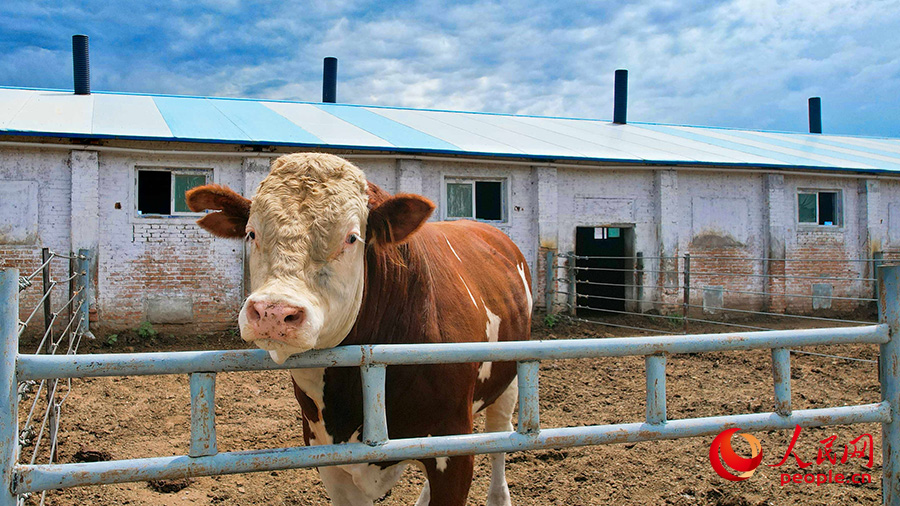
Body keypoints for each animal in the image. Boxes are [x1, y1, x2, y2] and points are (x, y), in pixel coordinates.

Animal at [185, 154, 532, 506]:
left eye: (351, 237)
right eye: (251, 233)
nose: (273, 312)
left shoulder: (454, 453)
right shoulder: (328, 455)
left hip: (507, 382)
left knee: (499, 438)